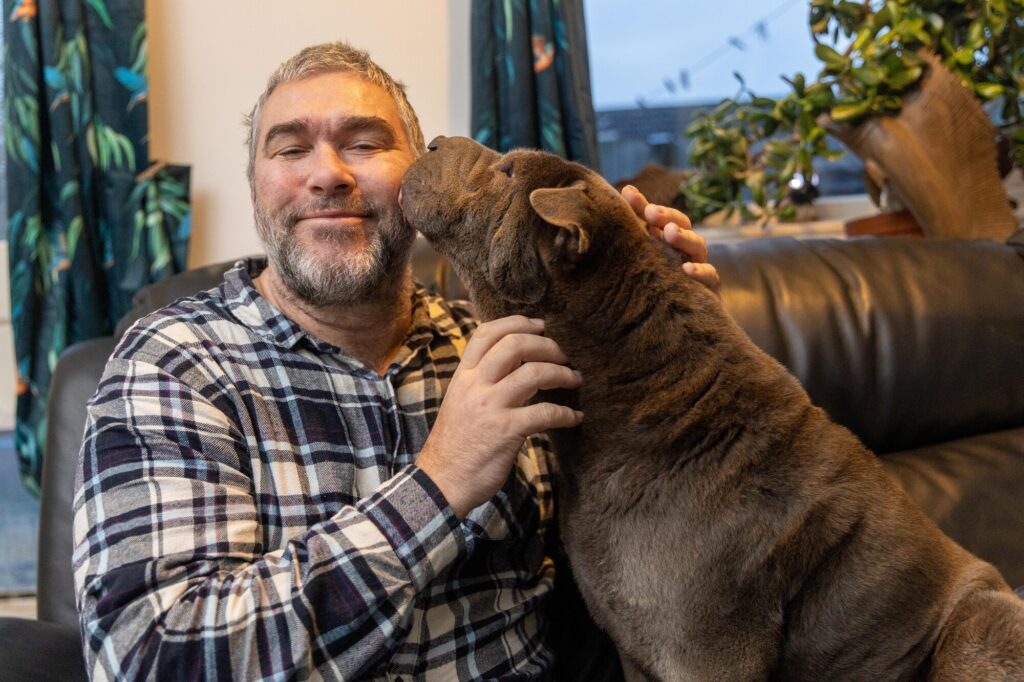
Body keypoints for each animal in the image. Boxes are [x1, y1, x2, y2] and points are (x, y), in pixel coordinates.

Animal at [399, 135, 1024, 675]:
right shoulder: (637, 650)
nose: (434, 141)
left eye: (506, 173)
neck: (634, 395)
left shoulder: (706, 651)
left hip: (977, 627)